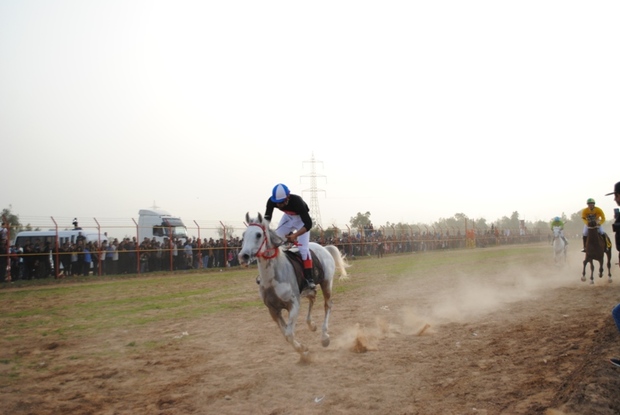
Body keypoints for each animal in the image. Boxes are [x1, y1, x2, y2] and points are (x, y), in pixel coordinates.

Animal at [237, 213, 348, 360]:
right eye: (244, 235)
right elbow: (285, 335)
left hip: (326, 283)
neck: (272, 279)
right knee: (313, 298)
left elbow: (289, 333)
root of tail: (324, 248)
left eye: (258, 235)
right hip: (308, 290)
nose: (243, 256)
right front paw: (304, 351)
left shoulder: (293, 305)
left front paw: (303, 350)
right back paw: (311, 325)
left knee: (328, 305)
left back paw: (324, 337)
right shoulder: (273, 310)